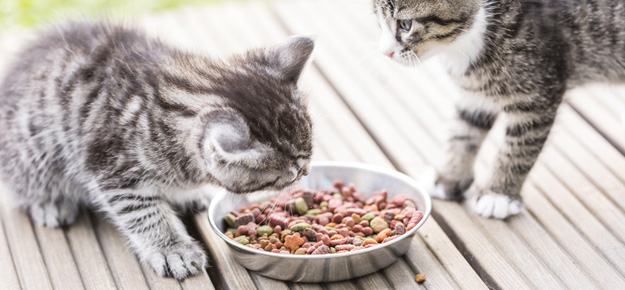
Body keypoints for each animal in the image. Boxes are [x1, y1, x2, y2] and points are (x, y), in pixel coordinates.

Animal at [0, 21, 312, 280]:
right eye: (288, 175)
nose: (306, 172)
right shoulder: (113, 170)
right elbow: (145, 215)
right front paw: (173, 249)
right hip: (34, 151)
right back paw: (49, 202)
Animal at [372, 0, 624, 218]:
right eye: (378, 21)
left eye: (406, 24)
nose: (385, 52)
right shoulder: (475, 95)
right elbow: (463, 132)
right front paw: (449, 177)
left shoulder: (538, 92)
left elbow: (519, 147)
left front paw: (499, 194)